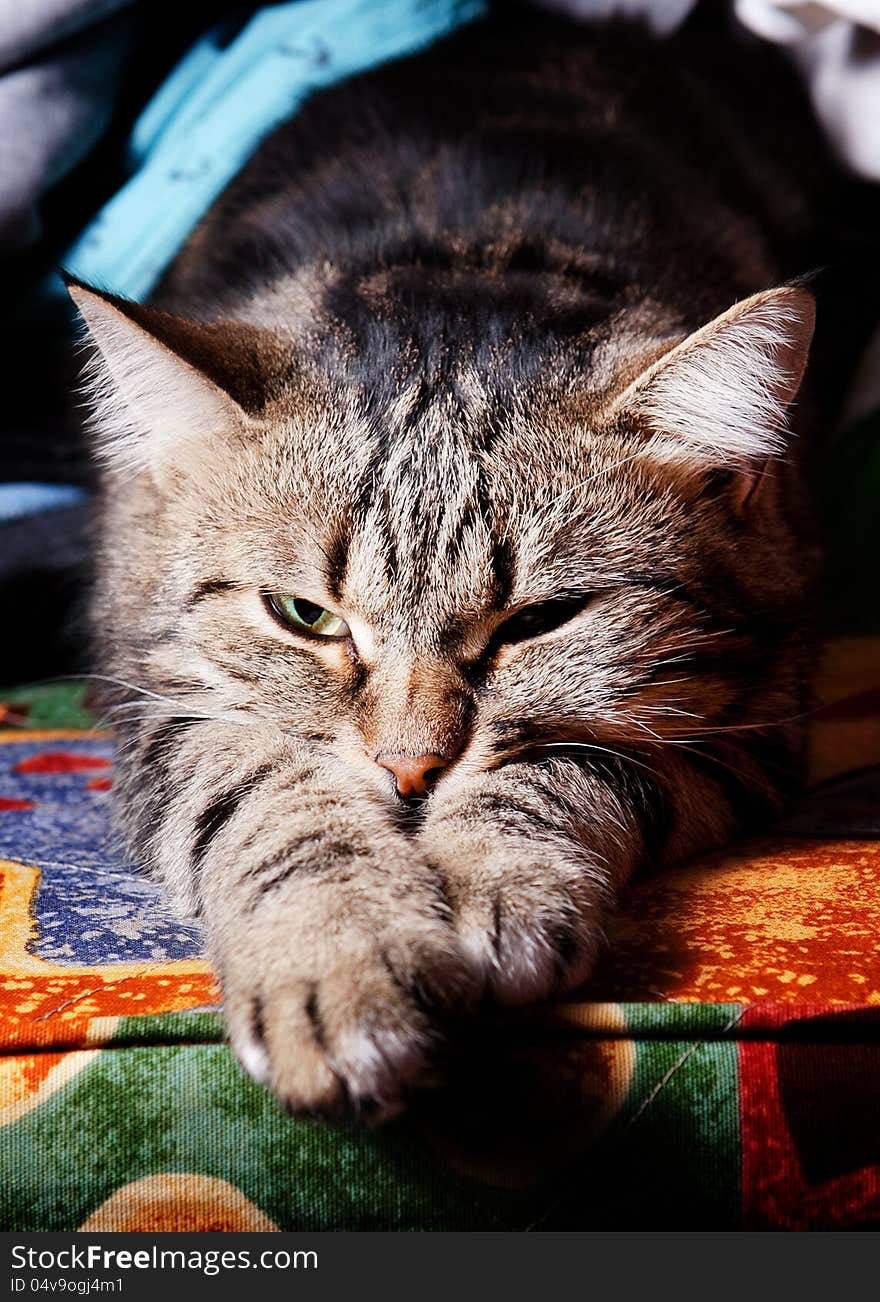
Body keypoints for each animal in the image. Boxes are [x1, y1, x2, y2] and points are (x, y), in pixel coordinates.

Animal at [68, 2, 838, 1119]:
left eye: (538, 622)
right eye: (304, 616)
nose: (409, 771)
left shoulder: (748, 722)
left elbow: (566, 764)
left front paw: (492, 887)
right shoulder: (157, 703)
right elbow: (273, 801)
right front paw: (340, 958)